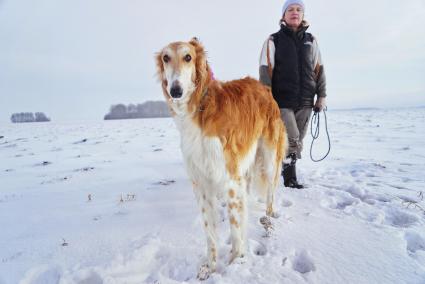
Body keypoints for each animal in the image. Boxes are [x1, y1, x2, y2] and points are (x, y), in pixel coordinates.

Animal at [154, 37, 286, 280]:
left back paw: (269, 215)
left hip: (269, 156)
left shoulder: (230, 177)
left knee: (271, 189)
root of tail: (264, 87)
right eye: (166, 58)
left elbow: (235, 227)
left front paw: (236, 262)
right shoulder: (201, 181)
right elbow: (209, 231)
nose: (175, 90)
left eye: (188, 57)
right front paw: (210, 266)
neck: (201, 108)